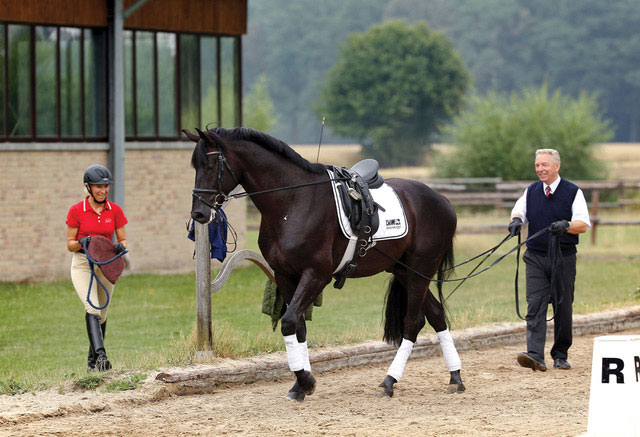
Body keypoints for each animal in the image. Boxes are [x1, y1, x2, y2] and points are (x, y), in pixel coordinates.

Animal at [186, 125, 464, 398]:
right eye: (195, 167)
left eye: (209, 165)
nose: (198, 213)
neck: (292, 202)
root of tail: (442, 201)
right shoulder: (285, 275)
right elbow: (297, 326)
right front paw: (300, 385)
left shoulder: (316, 275)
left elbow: (288, 321)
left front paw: (306, 380)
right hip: (404, 271)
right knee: (436, 314)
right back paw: (455, 377)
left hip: (420, 269)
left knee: (412, 322)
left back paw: (389, 382)